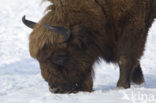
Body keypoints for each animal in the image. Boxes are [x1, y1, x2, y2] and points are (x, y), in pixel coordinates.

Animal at [22, 0, 156, 93]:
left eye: (59, 57)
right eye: (38, 59)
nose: (54, 90)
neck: (98, 7)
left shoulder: (133, 25)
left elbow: (125, 58)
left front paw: (121, 87)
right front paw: (138, 83)